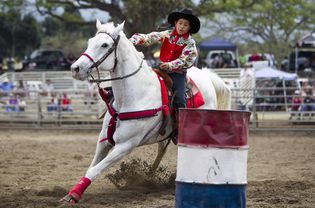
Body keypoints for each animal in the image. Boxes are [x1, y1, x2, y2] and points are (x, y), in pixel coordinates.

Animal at [61, 19, 232, 205]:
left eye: (104, 45)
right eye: (90, 41)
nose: (75, 68)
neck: (133, 95)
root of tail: (207, 76)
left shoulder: (126, 145)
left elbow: (94, 170)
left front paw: (74, 195)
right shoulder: (104, 140)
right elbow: (91, 167)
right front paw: (71, 193)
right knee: (161, 150)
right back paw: (150, 176)